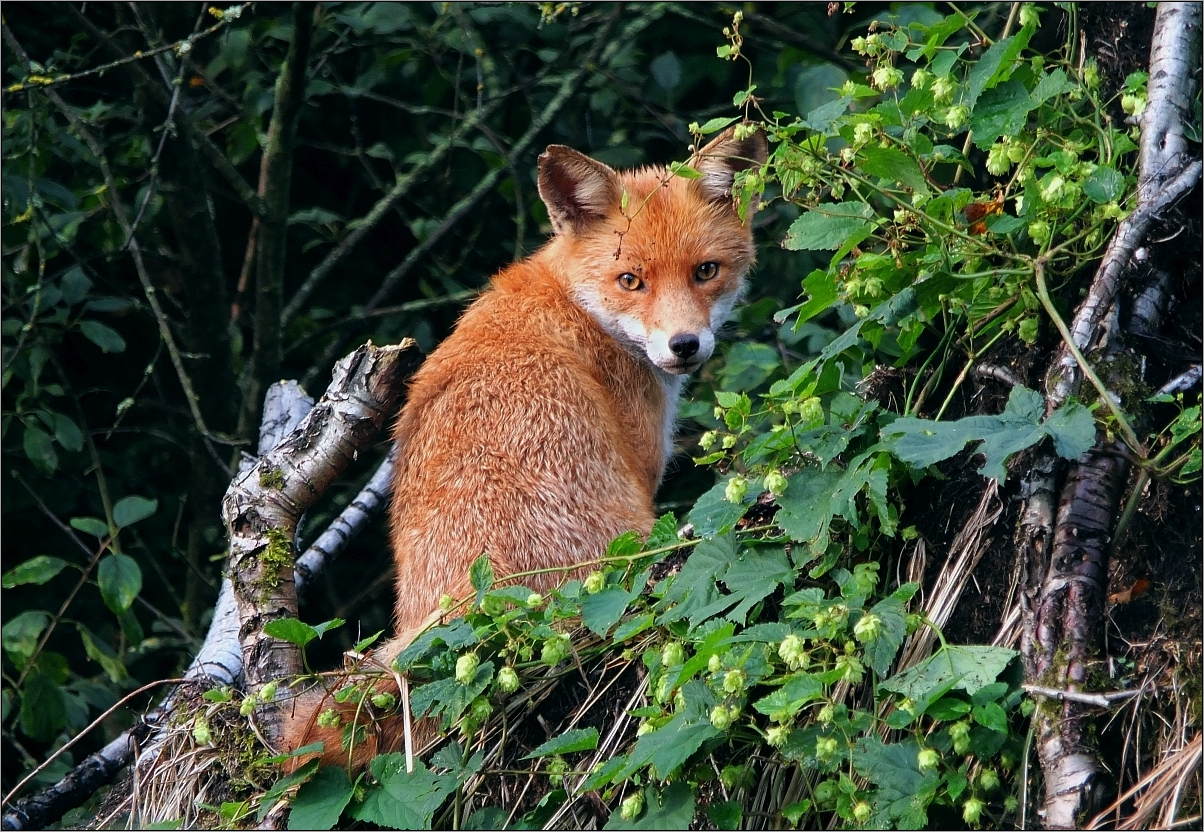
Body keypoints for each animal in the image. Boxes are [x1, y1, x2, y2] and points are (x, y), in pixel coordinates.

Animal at [284, 123, 760, 765]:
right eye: (630, 280)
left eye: (706, 271)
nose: (684, 345)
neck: (579, 306)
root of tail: (478, 608)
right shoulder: (642, 466)